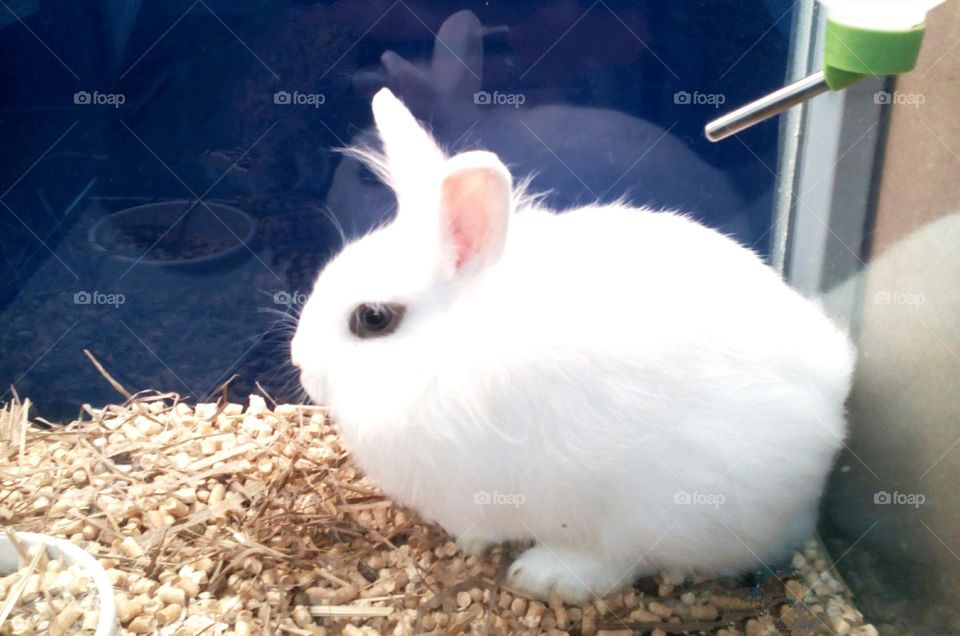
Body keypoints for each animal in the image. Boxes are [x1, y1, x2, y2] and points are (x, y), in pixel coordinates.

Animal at [291, 88, 855, 602]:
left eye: (373, 318)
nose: (300, 364)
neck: (447, 343)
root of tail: (834, 403)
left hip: (654, 511)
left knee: (624, 559)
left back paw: (545, 575)